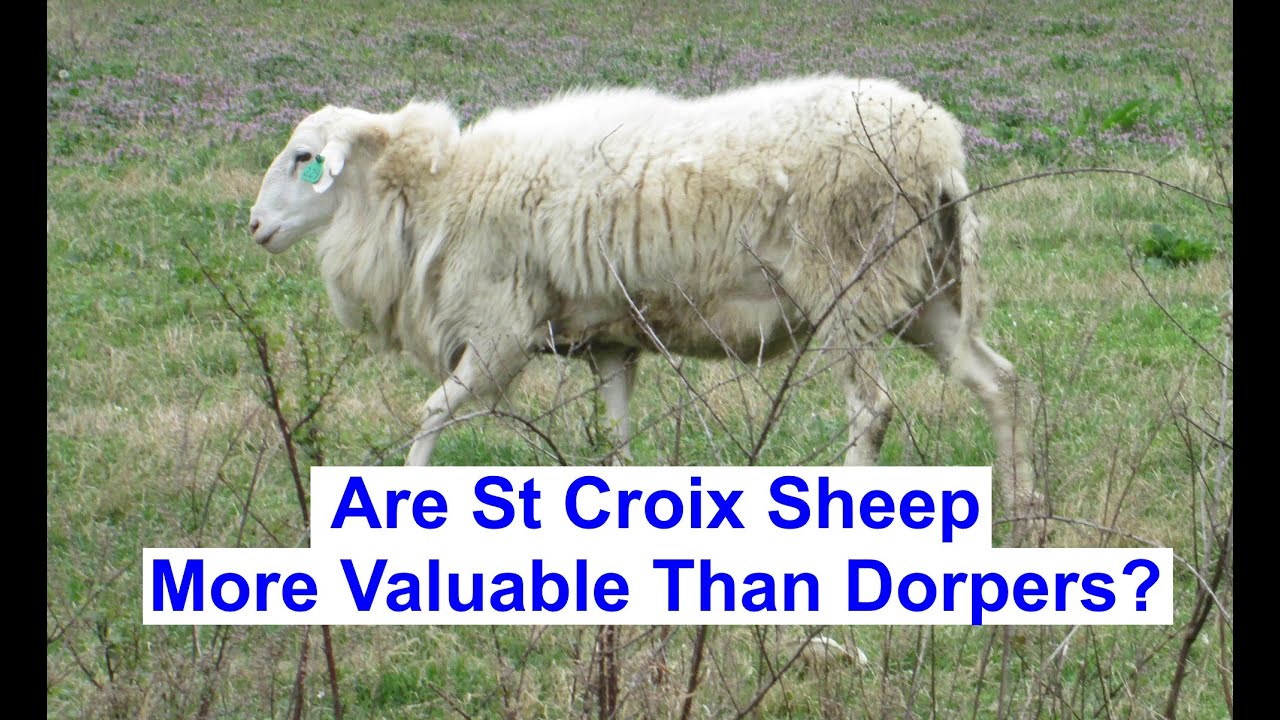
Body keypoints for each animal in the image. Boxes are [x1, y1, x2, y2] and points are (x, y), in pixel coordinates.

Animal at [247, 74, 1039, 519]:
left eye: (304, 159)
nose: (253, 226)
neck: (437, 193)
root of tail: (943, 148)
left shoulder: (500, 335)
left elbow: (430, 414)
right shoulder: (609, 343)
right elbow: (616, 442)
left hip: (849, 284)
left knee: (872, 411)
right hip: (921, 292)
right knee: (999, 381)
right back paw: (1021, 509)